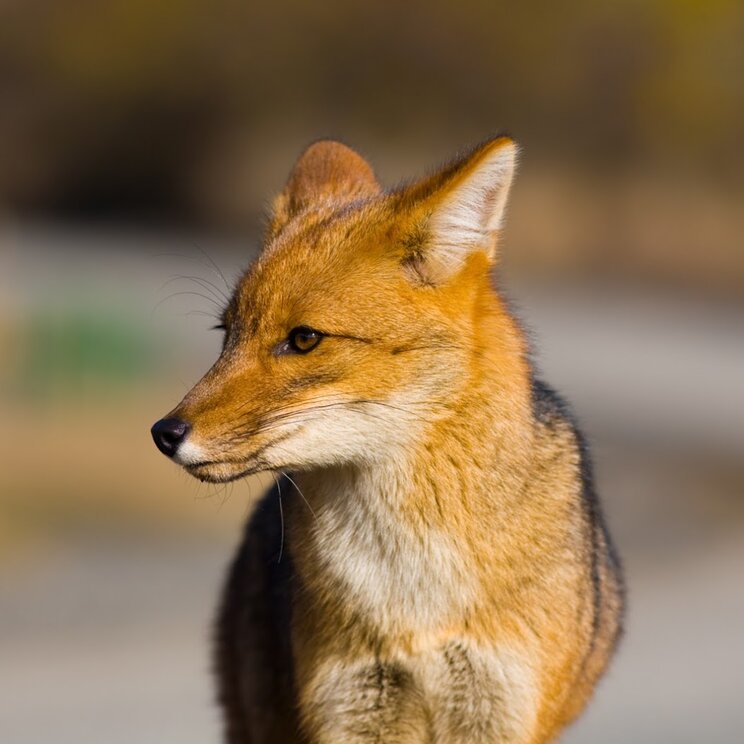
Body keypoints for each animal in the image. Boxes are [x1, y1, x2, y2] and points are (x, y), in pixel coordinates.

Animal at [151, 136, 624, 744]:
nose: (165, 434)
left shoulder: (497, 711)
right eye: (227, 334)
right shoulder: (351, 709)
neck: (411, 593)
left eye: (304, 339)